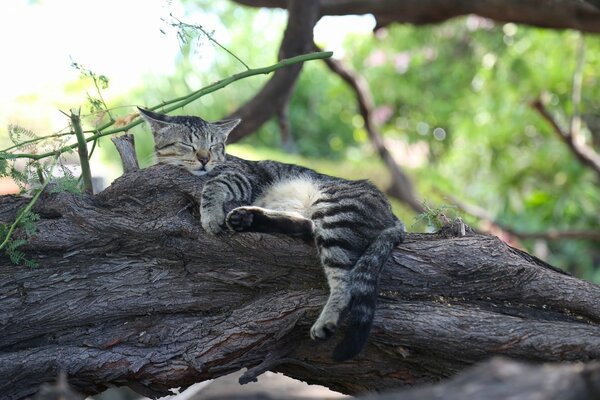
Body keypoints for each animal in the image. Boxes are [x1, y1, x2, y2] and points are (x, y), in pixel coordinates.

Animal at [138, 108, 406, 360]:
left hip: (332, 210)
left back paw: (326, 321)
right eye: (188, 145)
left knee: (344, 282)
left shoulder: (242, 176)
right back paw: (246, 219)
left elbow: (214, 184)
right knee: (306, 227)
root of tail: (393, 213)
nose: (205, 159)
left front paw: (210, 215)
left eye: (214, 146)